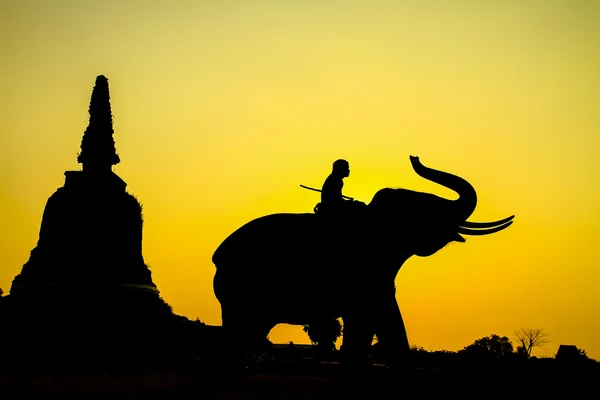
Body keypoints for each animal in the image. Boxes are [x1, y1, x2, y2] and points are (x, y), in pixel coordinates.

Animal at [211, 157, 510, 372]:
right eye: (425, 207)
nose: (414, 157)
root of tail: (217, 257)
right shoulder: (364, 269)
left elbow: (382, 328)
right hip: (243, 291)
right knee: (239, 337)